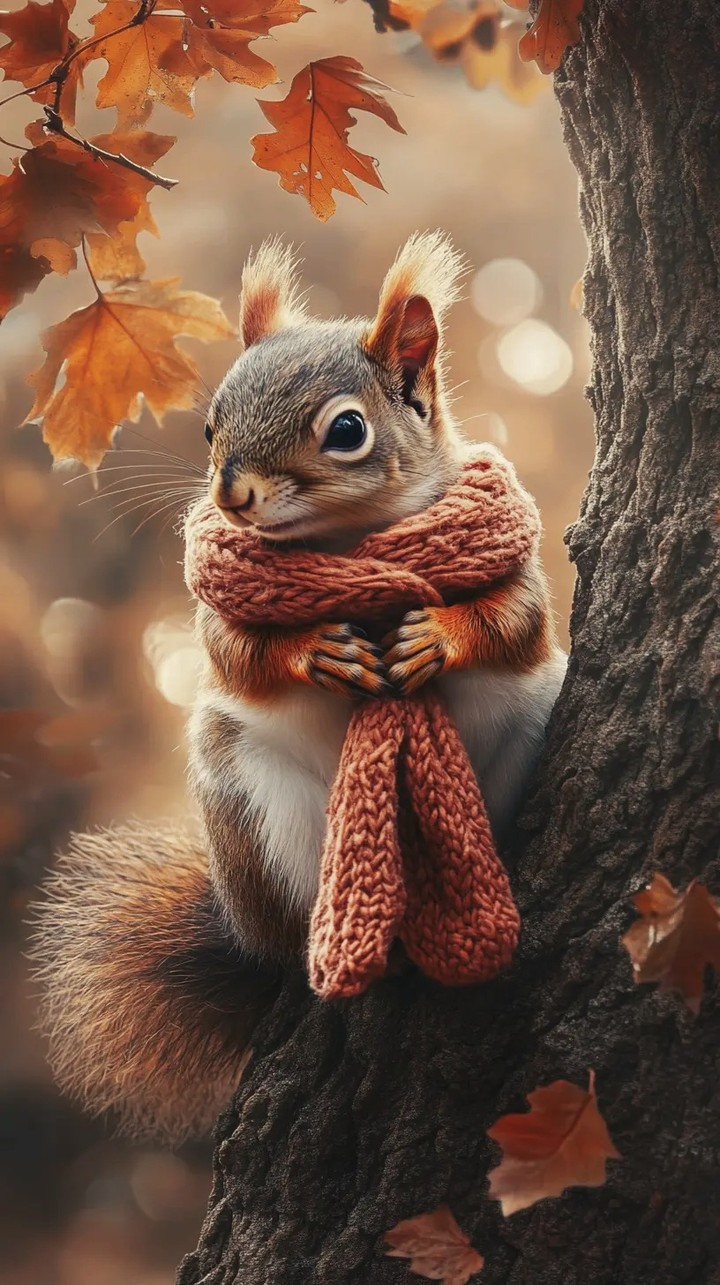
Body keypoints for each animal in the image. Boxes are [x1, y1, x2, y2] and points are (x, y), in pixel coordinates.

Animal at [33, 232, 567, 1143]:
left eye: (346, 429)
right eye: (210, 422)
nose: (231, 492)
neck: (352, 546)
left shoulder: (514, 565)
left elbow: (515, 622)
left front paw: (438, 636)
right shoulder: (219, 623)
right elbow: (238, 653)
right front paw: (316, 647)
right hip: (265, 819)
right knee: (297, 937)